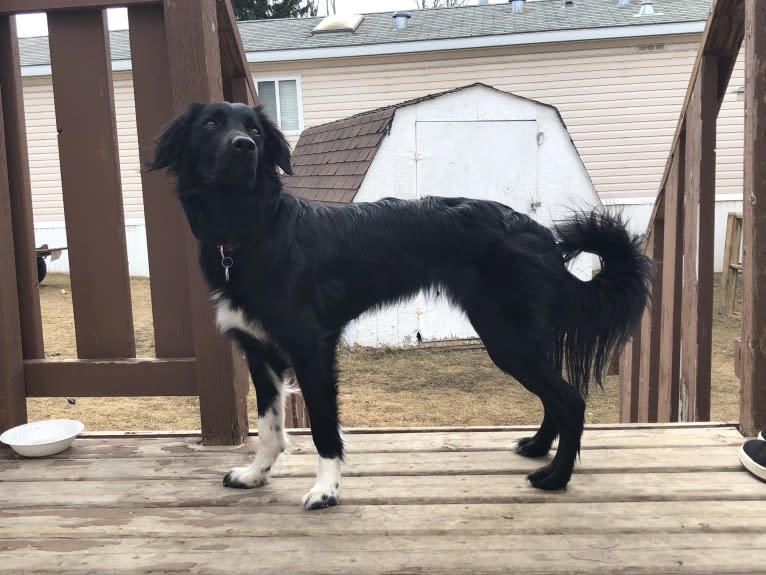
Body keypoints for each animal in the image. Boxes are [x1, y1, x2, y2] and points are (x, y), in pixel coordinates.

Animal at [152, 101, 656, 510]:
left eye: (254, 130)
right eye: (212, 123)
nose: (243, 147)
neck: (251, 228)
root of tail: (539, 233)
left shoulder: (312, 348)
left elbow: (323, 429)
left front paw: (326, 491)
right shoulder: (259, 350)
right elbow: (270, 423)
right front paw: (256, 474)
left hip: (505, 336)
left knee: (570, 399)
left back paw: (556, 476)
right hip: (514, 337)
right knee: (556, 396)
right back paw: (537, 447)